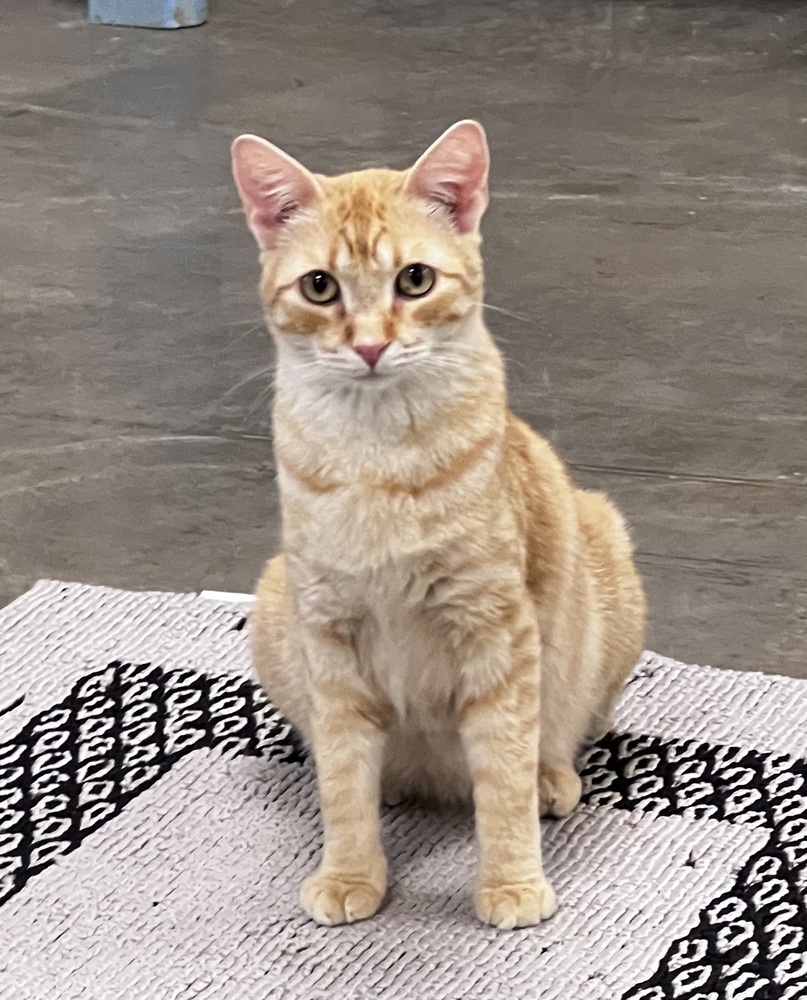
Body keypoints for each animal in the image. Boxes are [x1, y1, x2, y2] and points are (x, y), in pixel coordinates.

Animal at [230, 123, 648, 928]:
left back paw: (550, 779)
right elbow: (343, 783)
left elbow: (504, 772)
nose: (368, 346)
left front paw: (511, 882)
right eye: (320, 287)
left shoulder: (495, 630)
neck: (375, 461)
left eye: (414, 281)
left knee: (560, 738)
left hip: (604, 558)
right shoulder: (327, 634)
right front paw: (350, 872)